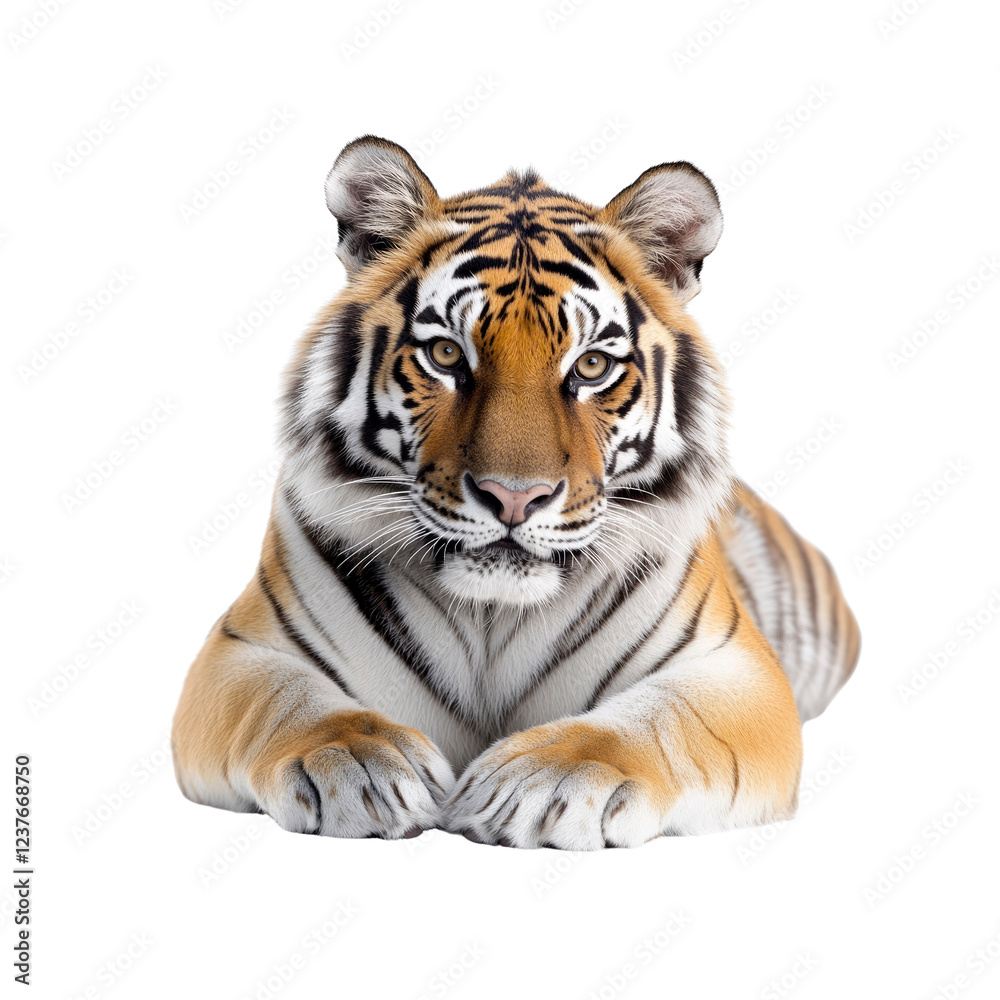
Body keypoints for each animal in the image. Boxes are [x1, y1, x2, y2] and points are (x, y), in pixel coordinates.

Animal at [172, 135, 860, 849]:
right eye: (447, 355)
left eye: (591, 366)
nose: (513, 497)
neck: (491, 616)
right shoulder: (239, 652)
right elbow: (288, 704)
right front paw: (360, 763)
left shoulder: (736, 671)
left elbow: (661, 722)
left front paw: (543, 782)